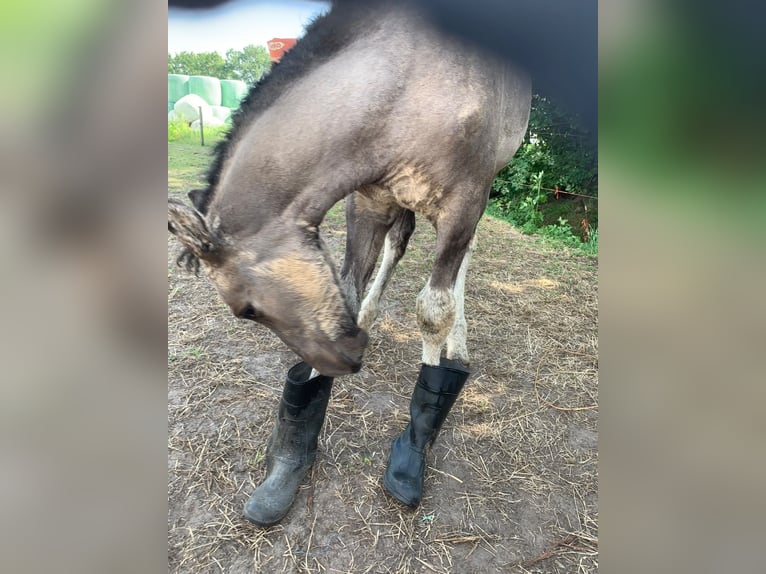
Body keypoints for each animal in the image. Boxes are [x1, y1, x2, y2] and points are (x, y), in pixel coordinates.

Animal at [168, 0, 531, 526]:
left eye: (247, 310)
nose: (347, 360)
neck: (405, 91)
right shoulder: (369, 201)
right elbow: (350, 287)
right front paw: (295, 444)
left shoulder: (465, 202)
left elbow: (433, 312)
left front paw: (414, 448)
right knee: (399, 245)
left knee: (460, 260)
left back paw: (457, 345)